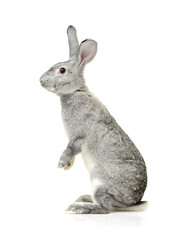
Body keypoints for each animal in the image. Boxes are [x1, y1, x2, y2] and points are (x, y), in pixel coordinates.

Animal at [39, 25, 148, 214]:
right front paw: (68, 166)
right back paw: (82, 198)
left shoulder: (78, 136)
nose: (41, 80)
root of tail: (133, 202)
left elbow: (70, 148)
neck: (75, 92)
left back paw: (78, 207)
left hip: (100, 183)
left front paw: (61, 164)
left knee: (104, 207)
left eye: (62, 70)